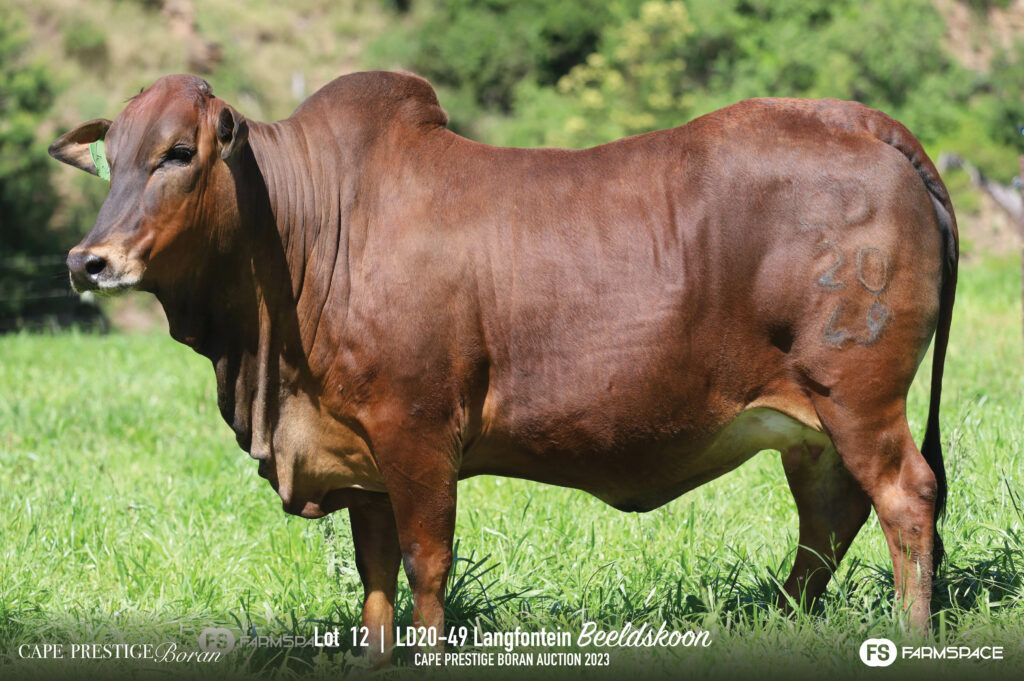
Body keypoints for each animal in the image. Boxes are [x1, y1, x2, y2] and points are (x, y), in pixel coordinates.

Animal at [49, 71, 957, 663]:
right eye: (109, 159)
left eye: (178, 152)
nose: (89, 262)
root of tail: (857, 120)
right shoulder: (362, 456)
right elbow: (374, 577)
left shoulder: (416, 433)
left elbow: (424, 565)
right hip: (810, 425)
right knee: (828, 521)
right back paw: (781, 623)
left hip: (859, 399)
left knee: (906, 500)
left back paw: (907, 635)